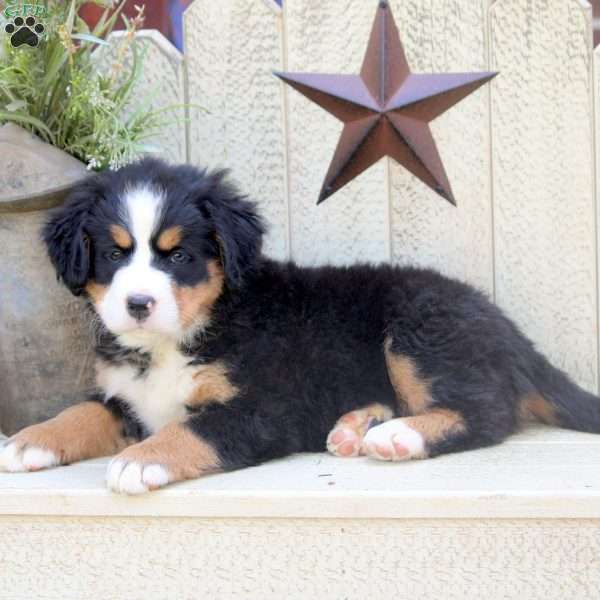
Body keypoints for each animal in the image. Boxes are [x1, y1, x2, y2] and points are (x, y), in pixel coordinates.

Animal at [1, 159, 600, 492]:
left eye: (179, 257)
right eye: (113, 253)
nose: (139, 303)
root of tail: (505, 324)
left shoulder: (267, 407)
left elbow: (193, 430)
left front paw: (140, 461)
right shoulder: (127, 397)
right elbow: (81, 411)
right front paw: (29, 441)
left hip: (417, 327)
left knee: (488, 412)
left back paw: (398, 436)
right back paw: (354, 426)